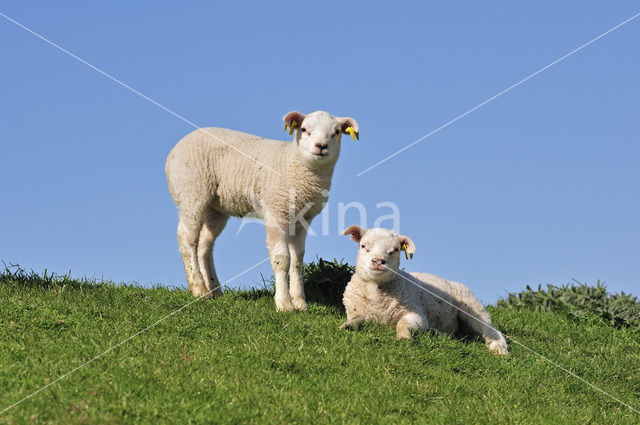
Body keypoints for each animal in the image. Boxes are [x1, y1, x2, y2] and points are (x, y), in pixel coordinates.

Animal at [165, 111, 360, 310]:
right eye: (304, 129)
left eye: (336, 132)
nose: (321, 146)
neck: (293, 164)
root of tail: (174, 150)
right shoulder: (276, 212)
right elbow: (282, 259)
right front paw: (284, 304)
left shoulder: (302, 220)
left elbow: (297, 260)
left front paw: (300, 303)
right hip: (192, 192)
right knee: (187, 238)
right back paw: (198, 288)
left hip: (215, 207)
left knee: (205, 244)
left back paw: (214, 289)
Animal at [340, 225, 510, 354]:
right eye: (363, 246)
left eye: (395, 249)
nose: (378, 261)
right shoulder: (356, 311)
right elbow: (356, 319)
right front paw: (347, 326)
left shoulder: (417, 315)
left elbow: (402, 323)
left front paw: (404, 337)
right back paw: (436, 332)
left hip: (473, 309)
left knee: (491, 331)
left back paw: (500, 350)